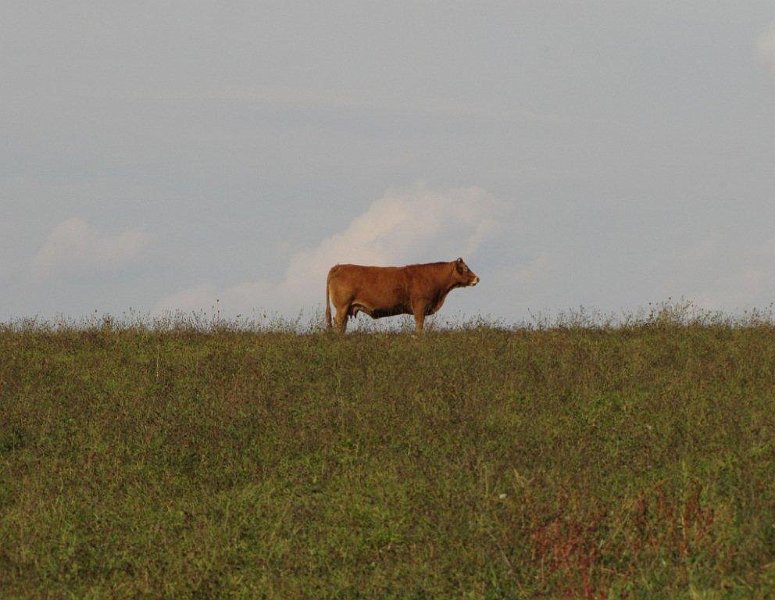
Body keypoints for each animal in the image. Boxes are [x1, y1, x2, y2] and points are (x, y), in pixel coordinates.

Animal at [322, 256, 478, 332]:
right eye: (465, 268)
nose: (477, 278)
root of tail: (338, 266)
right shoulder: (419, 306)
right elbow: (419, 326)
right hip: (342, 306)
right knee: (338, 323)